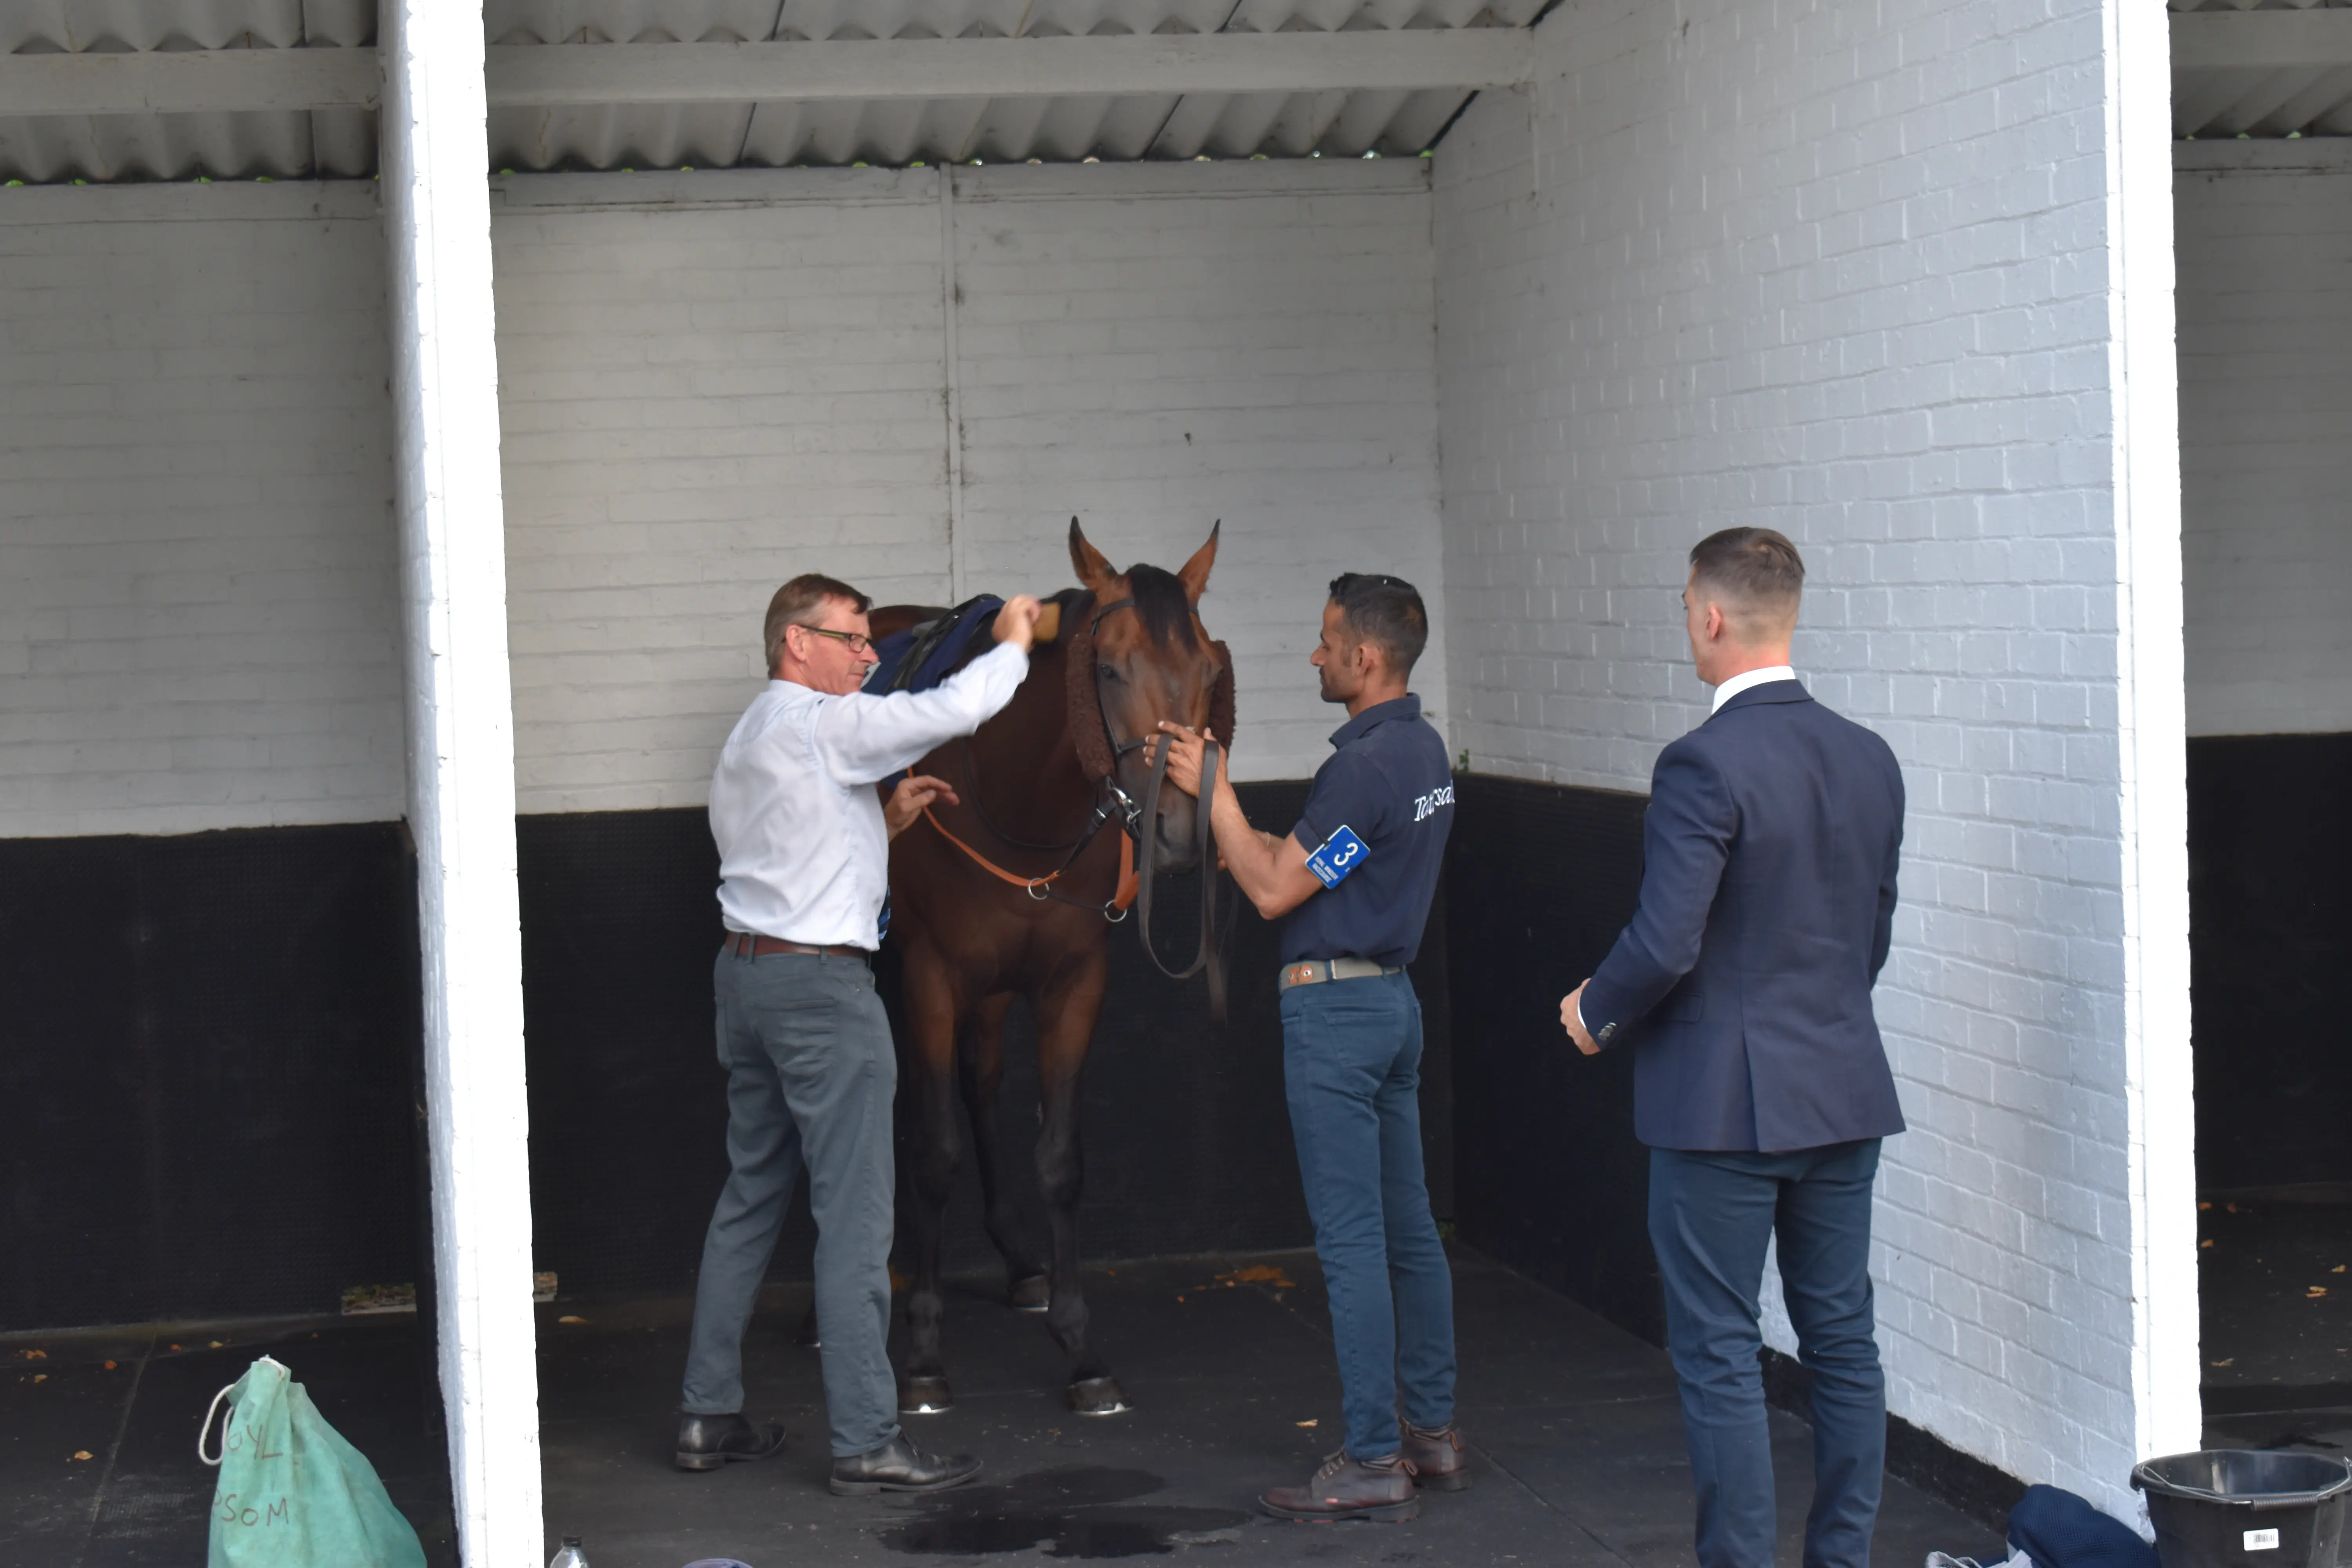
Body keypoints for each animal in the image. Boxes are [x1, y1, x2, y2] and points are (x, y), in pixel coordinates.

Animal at [880, 522, 1232, 1420]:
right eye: (1107, 669)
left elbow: (1062, 1157)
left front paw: (1080, 1348)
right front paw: (924, 1354)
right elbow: (933, 1153)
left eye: (1209, 671)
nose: (1178, 833)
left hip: (998, 988)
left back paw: (1016, 1257)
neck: (1017, 805)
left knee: (980, 1082)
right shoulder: (931, 976)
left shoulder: (1073, 982)